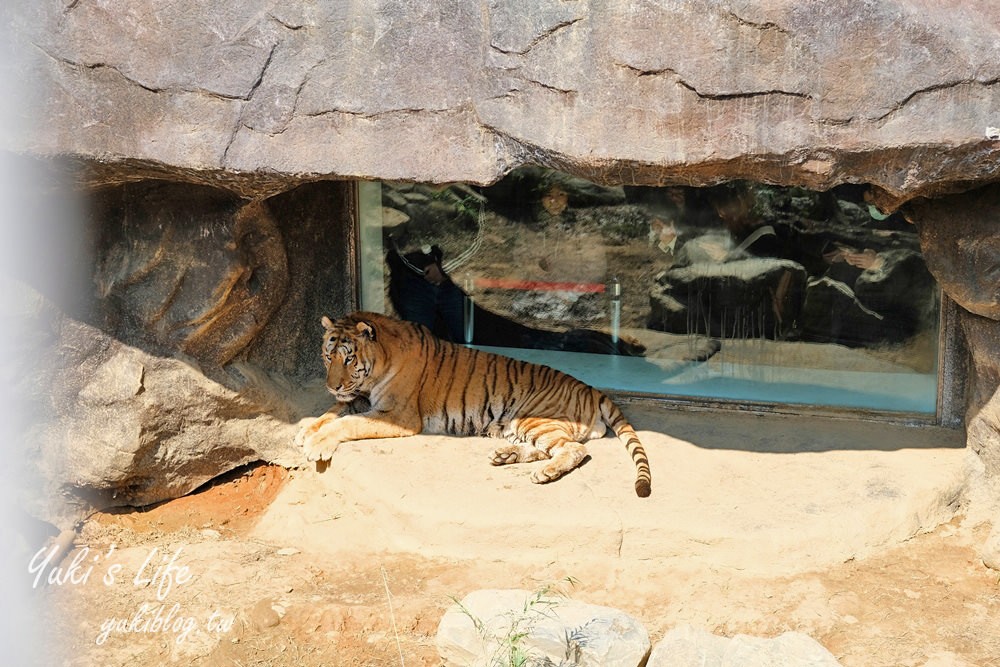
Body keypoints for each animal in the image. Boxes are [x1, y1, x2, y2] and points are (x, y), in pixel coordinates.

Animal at [294, 312, 656, 496]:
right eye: (327, 355)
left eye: (348, 358)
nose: (332, 385)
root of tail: (592, 389)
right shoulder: (361, 398)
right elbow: (334, 411)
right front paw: (304, 429)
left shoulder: (397, 414)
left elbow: (346, 422)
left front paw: (316, 444)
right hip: (519, 424)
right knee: (549, 448)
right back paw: (505, 456)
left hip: (532, 418)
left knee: (574, 450)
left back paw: (544, 474)